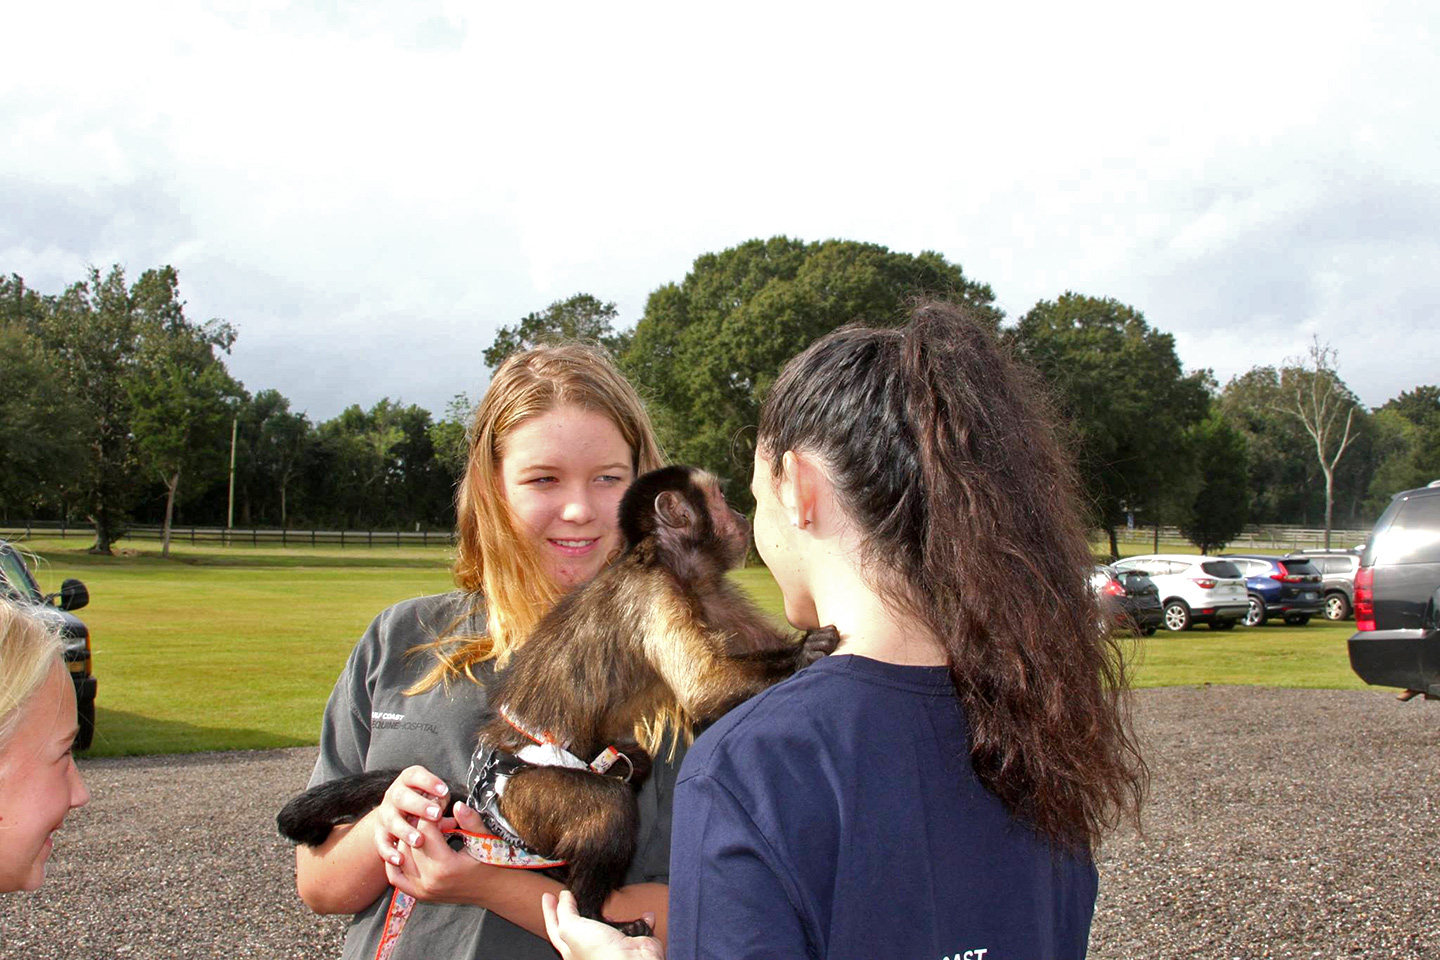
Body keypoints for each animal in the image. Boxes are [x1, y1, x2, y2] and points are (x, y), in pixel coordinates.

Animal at [276, 466, 840, 938]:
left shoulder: (712, 592)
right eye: (721, 498)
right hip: (524, 799)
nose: (743, 517)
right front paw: (801, 653)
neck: (670, 562)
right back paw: (593, 912)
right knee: (607, 807)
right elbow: (706, 688)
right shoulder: (654, 591)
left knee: (632, 767)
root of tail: (478, 794)